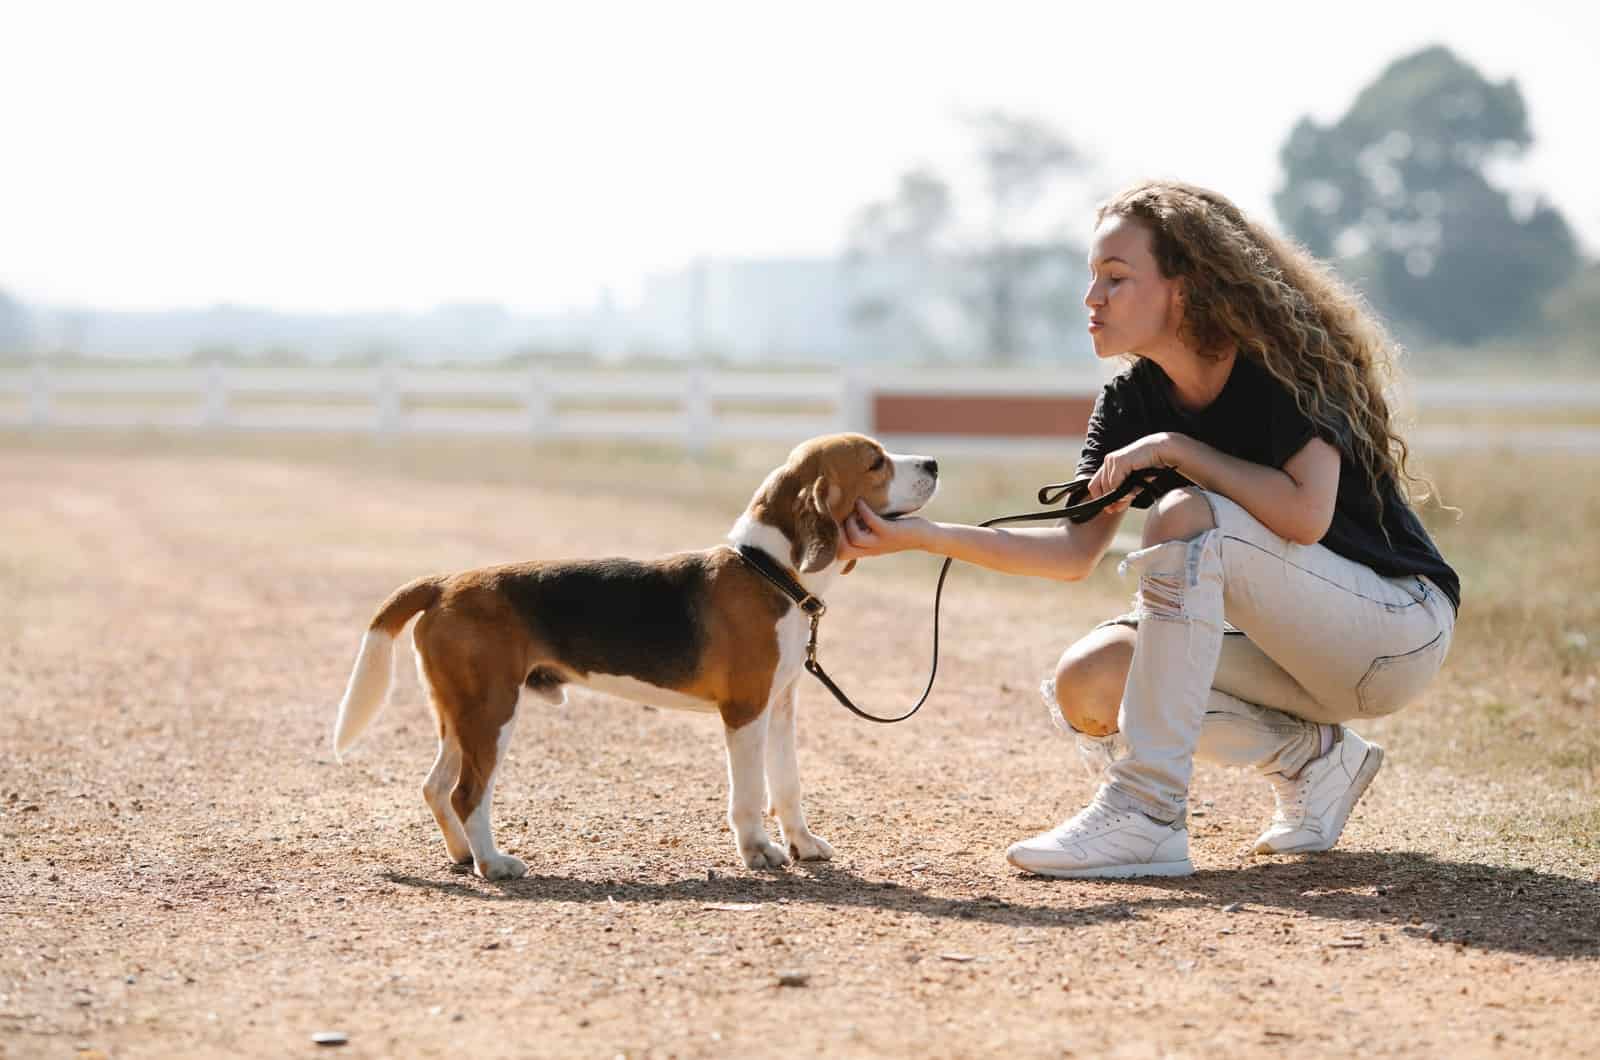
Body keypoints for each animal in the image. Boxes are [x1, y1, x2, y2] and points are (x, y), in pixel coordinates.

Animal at [334, 435, 934, 883]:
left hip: (462, 713)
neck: (770, 570)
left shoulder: (781, 706)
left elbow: (787, 785)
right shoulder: (745, 710)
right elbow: (750, 791)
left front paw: (803, 844)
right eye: (875, 461)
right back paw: (493, 863)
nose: (932, 461)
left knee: (436, 787)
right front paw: (759, 851)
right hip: (491, 712)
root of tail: (444, 582)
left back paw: (463, 855)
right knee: (466, 794)